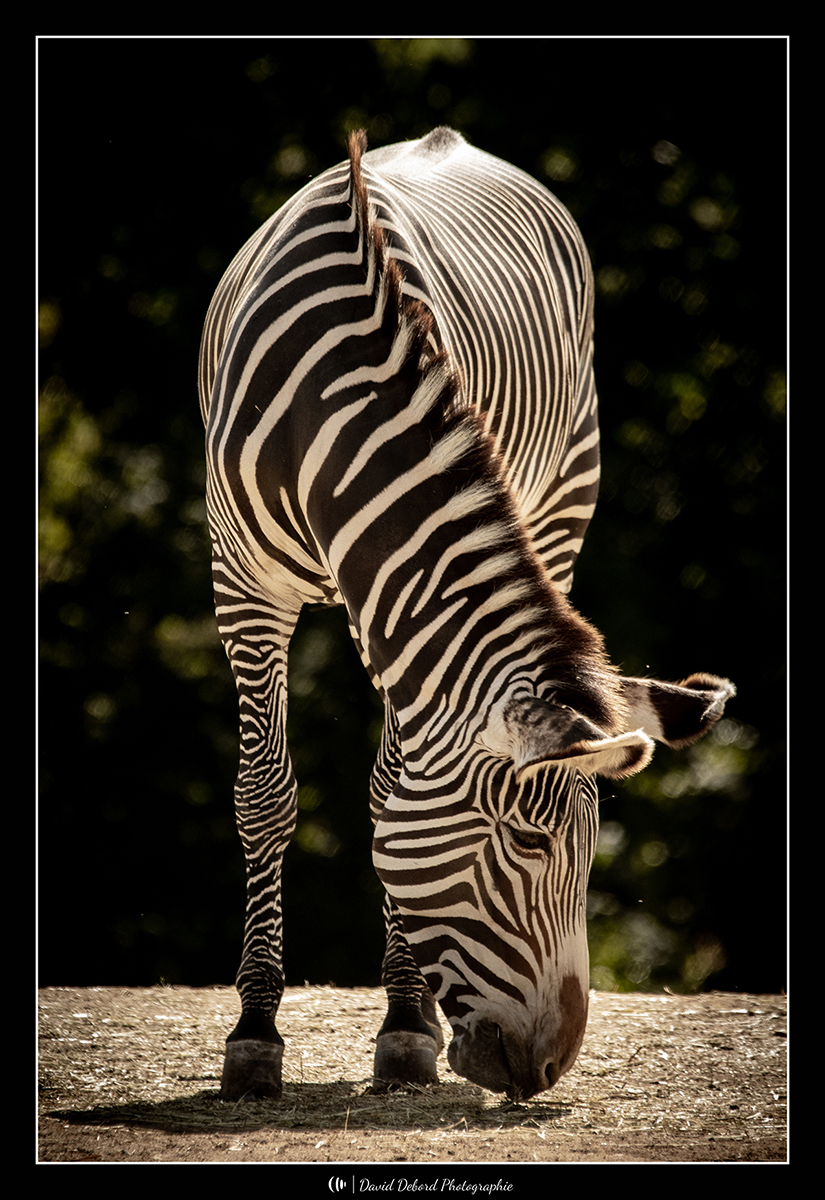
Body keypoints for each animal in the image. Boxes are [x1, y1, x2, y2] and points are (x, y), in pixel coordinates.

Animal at [199, 127, 734, 1102]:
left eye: (589, 850)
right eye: (526, 841)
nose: (552, 1066)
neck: (337, 410)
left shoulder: (400, 598)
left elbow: (386, 794)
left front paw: (404, 1027)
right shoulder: (243, 582)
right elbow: (264, 796)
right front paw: (254, 1033)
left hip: (560, 497)